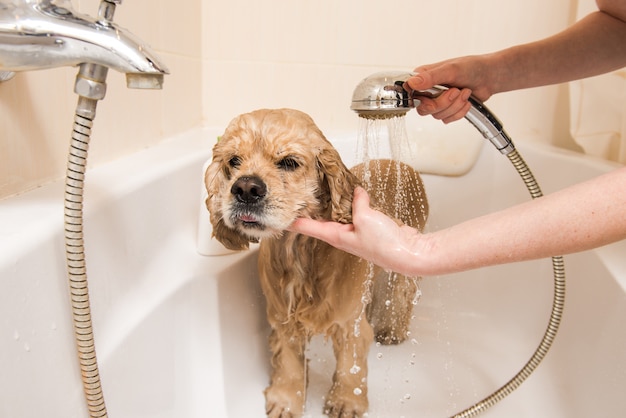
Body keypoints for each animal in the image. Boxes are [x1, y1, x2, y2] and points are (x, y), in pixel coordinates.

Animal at [202, 108, 426, 418]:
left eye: (289, 162)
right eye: (233, 161)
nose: (245, 188)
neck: (299, 252)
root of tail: (401, 164)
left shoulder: (348, 322)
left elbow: (350, 365)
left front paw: (346, 400)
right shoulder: (282, 319)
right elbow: (289, 363)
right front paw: (286, 400)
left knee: (402, 295)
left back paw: (392, 330)